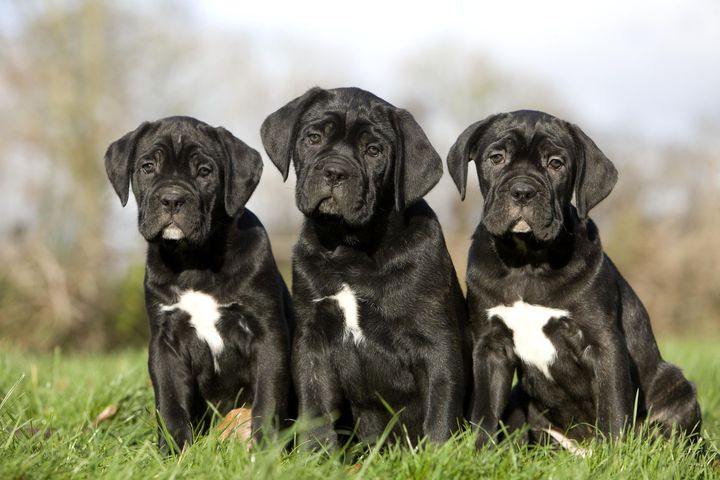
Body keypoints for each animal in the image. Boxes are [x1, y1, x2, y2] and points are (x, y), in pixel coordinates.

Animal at [104, 117, 290, 454]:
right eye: (147, 167)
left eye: (205, 172)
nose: (172, 199)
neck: (195, 261)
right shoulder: (165, 344)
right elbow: (170, 402)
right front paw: (175, 451)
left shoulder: (268, 335)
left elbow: (268, 399)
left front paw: (265, 451)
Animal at [262, 88, 470, 448]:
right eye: (313, 138)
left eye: (374, 151)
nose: (334, 172)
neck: (352, 250)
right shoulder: (313, 343)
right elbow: (316, 409)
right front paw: (315, 454)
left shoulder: (437, 345)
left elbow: (440, 410)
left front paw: (438, 454)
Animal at [448, 111, 700, 450]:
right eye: (496, 158)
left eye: (556, 164)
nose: (523, 191)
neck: (527, 262)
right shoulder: (490, 346)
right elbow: (485, 410)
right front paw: (479, 453)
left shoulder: (603, 343)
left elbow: (613, 407)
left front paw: (615, 455)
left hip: (676, 385)